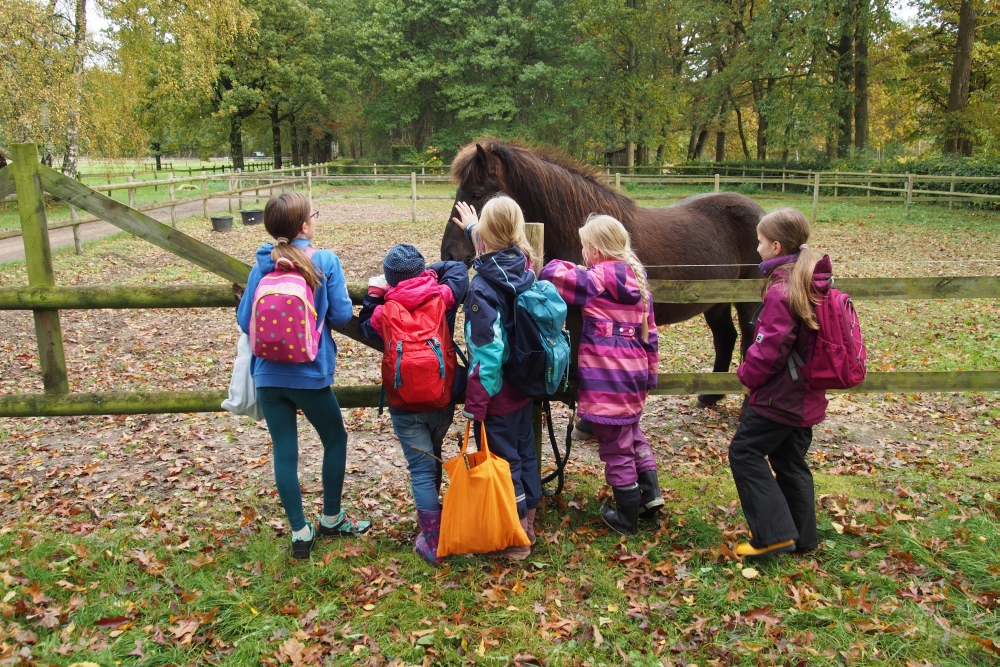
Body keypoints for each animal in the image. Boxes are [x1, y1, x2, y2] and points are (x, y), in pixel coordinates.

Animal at [442, 140, 760, 408]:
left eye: (477, 194)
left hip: (749, 301)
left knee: (749, 340)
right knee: (726, 338)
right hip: (716, 301)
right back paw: (709, 396)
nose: (449, 254)